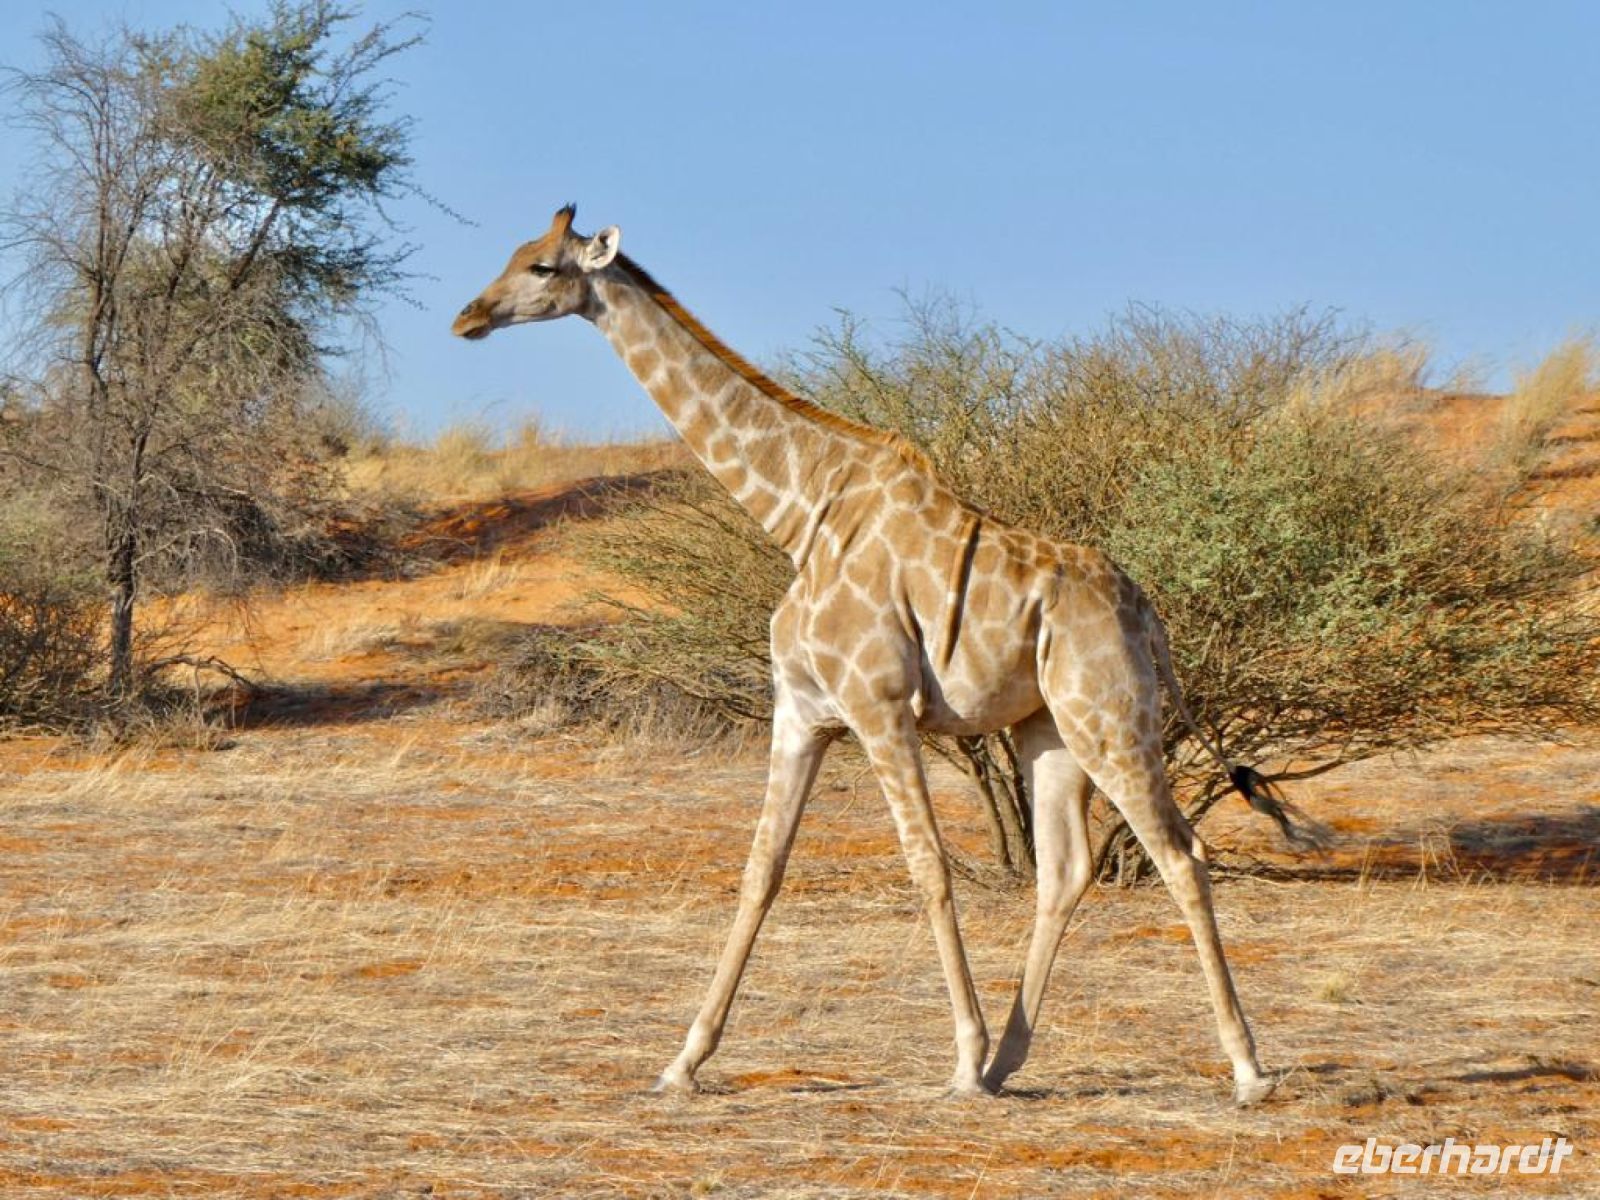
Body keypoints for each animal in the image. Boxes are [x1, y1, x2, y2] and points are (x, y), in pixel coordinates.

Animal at [453, 206, 1304, 1105]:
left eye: (543, 267)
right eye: (514, 254)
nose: (469, 316)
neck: (799, 513)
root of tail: (1149, 616)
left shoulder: (881, 706)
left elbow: (927, 866)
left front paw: (960, 1056)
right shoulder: (802, 713)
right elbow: (762, 869)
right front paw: (683, 1061)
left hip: (1109, 720)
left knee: (1181, 855)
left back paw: (1243, 1068)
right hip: (1050, 732)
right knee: (1066, 871)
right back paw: (1011, 1060)